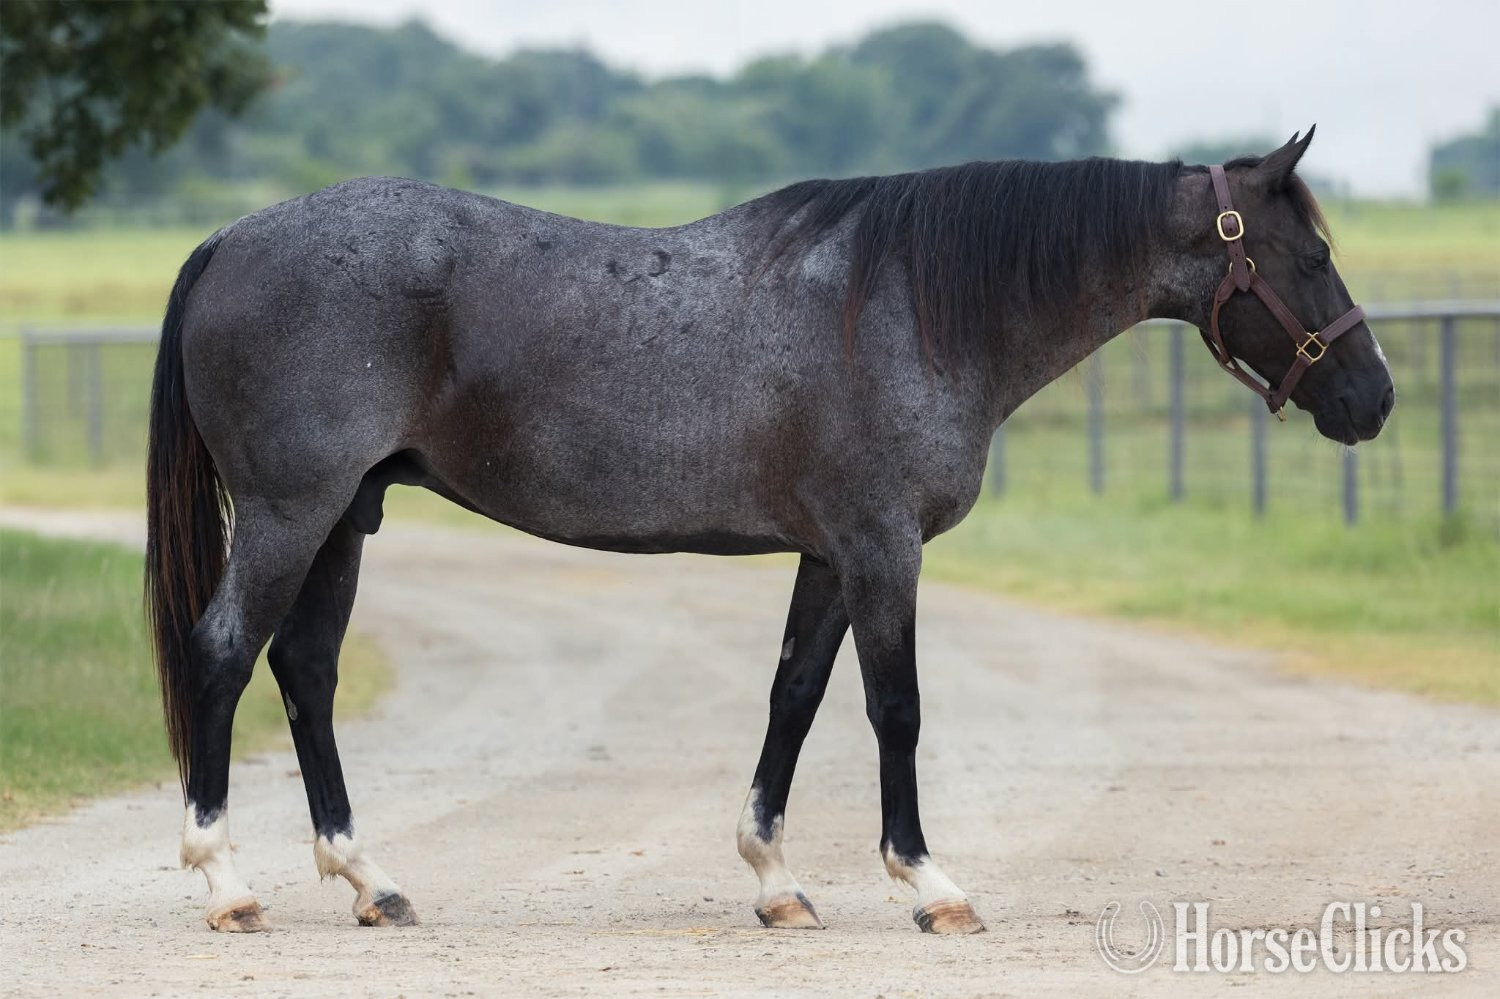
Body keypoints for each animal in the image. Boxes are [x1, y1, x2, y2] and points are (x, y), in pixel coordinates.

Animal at [145, 128, 1393, 934]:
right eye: (1312, 255)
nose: (1373, 400)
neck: (908, 305)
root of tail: (225, 241)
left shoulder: (831, 555)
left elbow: (793, 698)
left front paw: (775, 881)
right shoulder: (884, 547)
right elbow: (897, 710)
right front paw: (929, 885)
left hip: (344, 519)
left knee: (306, 671)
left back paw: (371, 881)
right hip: (292, 513)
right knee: (224, 655)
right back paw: (224, 885)